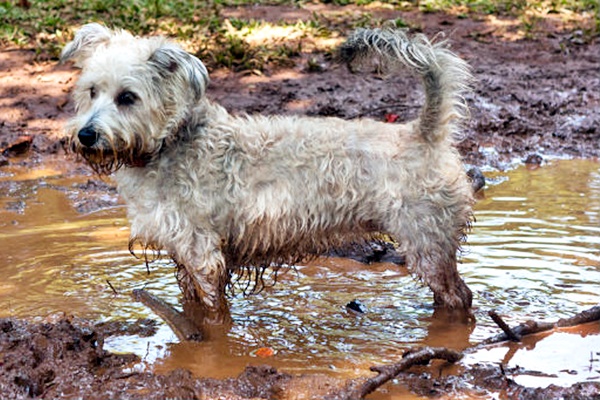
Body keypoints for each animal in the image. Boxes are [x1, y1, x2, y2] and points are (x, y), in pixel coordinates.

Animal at [61, 24, 474, 338]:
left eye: (128, 97)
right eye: (92, 91)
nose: (86, 135)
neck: (168, 143)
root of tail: (423, 134)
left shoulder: (204, 255)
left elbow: (214, 312)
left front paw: (213, 344)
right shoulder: (184, 255)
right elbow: (192, 303)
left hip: (427, 243)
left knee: (460, 297)